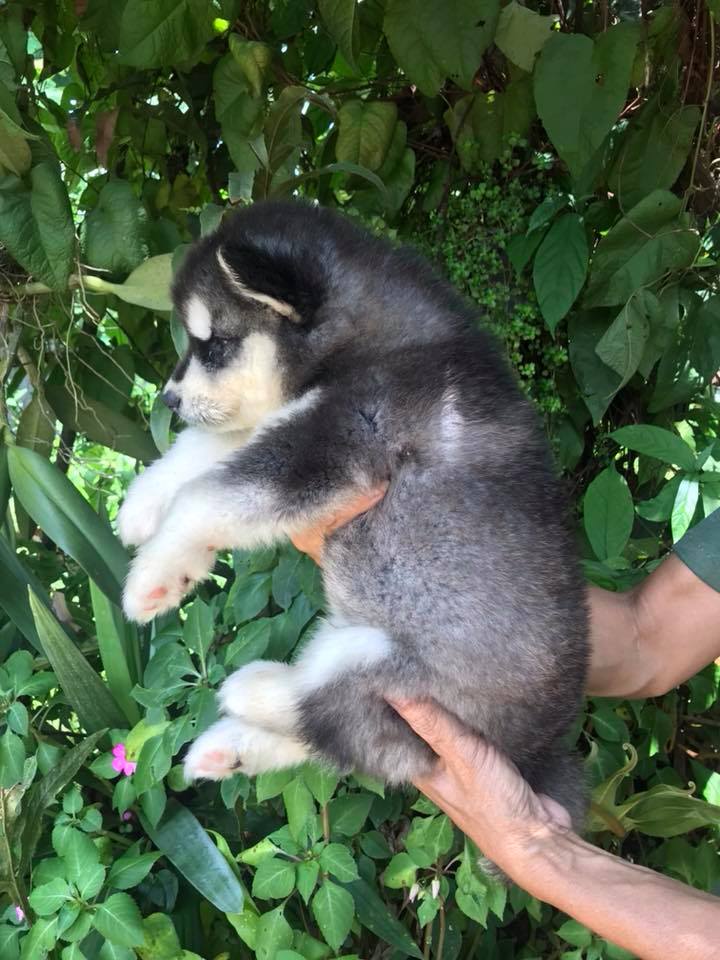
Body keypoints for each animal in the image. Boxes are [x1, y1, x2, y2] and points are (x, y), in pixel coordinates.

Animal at [118, 200, 588, 825]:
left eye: (215, 345)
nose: (167, 400)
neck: (373, 340)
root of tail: (538, 753)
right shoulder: (296, 422)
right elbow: (200, 452)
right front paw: (142, 508)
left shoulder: (342, 441)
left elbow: (205, 495)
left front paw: (150, 576)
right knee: (340, 746)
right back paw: (225, 750)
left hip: (392, 671)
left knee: (326, 710)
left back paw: (251, 689)